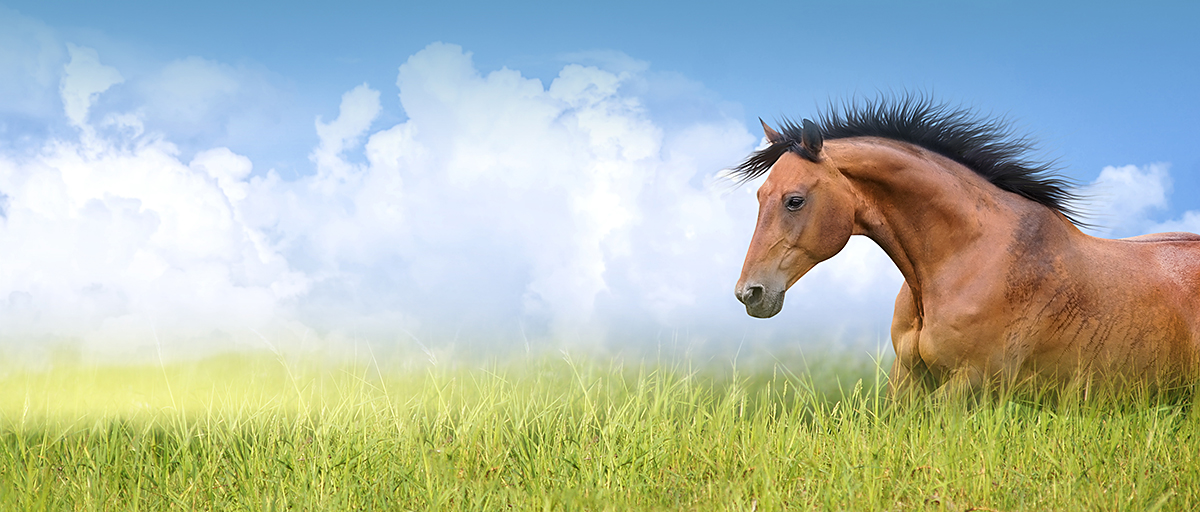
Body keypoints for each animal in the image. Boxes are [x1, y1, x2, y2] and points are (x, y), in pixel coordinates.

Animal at [731, 95, 1200, 396]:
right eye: (759, 196)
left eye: (795, 200)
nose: (749, 293)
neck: (967, 259)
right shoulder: (907, 380)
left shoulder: (972, 382)